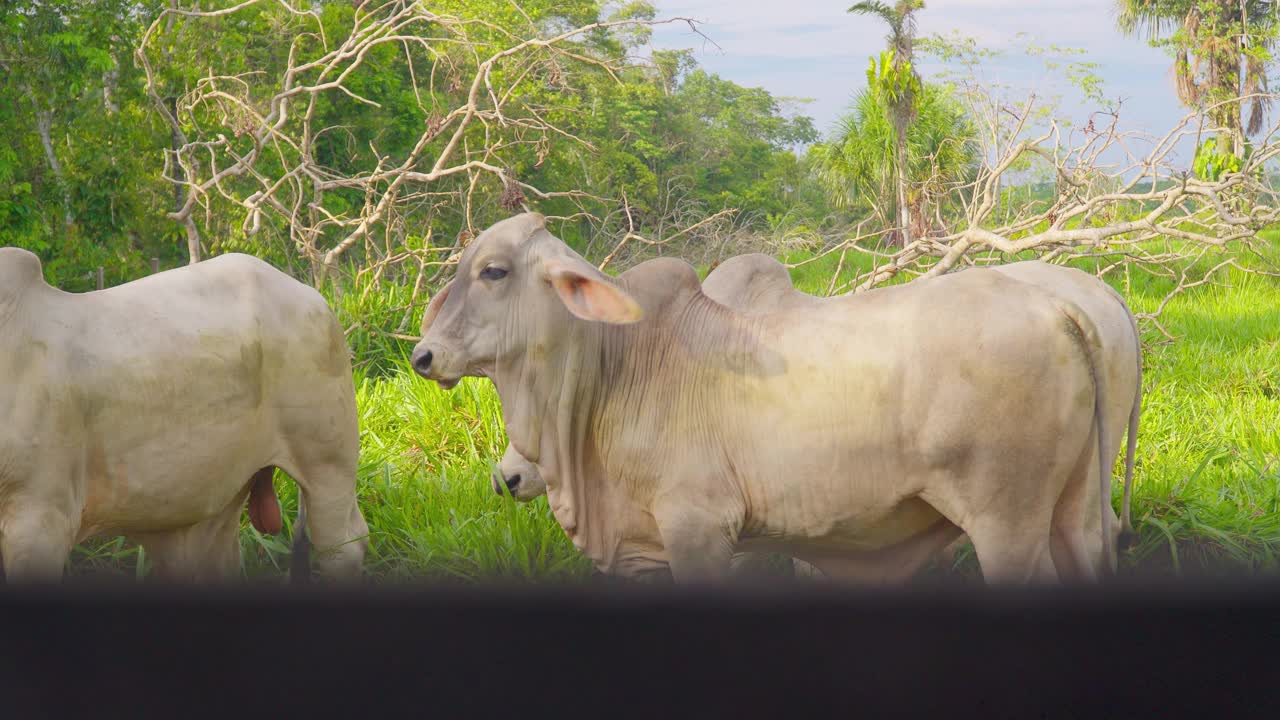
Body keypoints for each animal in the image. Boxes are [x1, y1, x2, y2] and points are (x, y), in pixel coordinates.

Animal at [412, 212, 1131, 584]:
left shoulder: (700, 529)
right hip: (1074, 513)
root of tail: (1059, 306)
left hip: (1007, 525)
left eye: (494, 271)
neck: (617, 372)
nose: (423, 356)